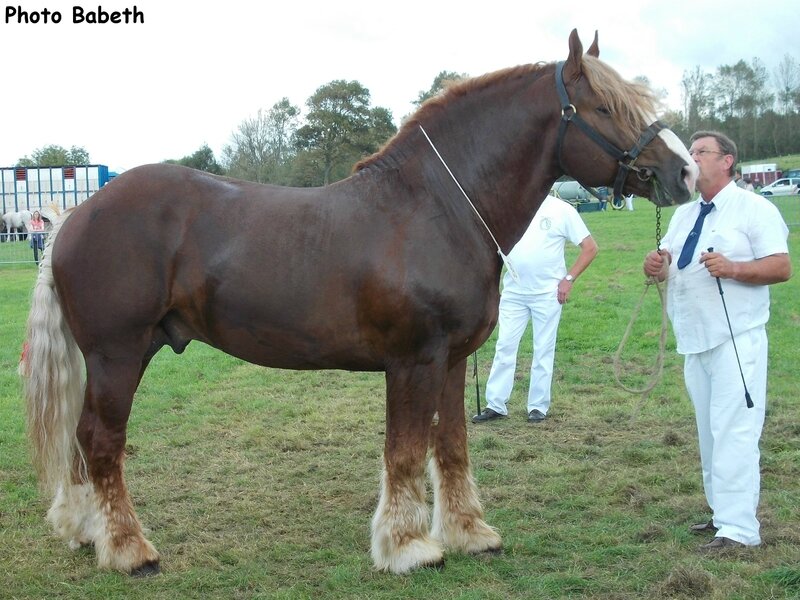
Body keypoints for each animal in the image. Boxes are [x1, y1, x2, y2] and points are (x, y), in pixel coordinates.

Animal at [17, 29, 692, 576]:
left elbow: (450, 447)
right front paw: (408, 547)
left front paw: (469, 534)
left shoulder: (451, 361)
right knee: (101, 441)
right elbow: (405, 451)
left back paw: (84, 531)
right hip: (118, 355)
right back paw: (128, 549)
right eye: (605, 107)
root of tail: (74, 216)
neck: (436, 207)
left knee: (81, 440)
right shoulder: (413, 362)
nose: (682, 172)